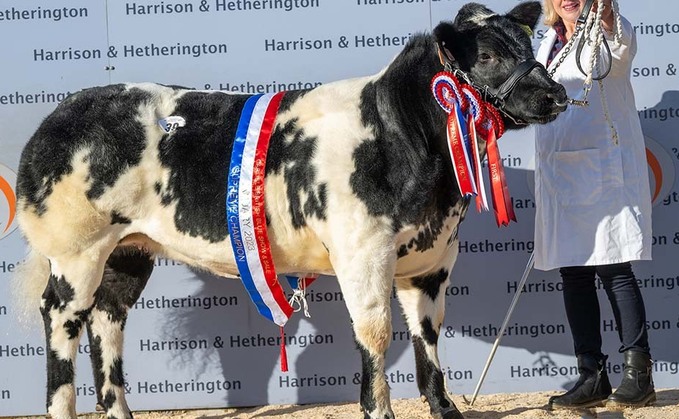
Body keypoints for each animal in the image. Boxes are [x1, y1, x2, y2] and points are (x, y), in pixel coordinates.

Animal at [13, 1, 568, 418]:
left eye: (529, 43)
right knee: (61, 316)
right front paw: (378, 409)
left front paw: (446, 409)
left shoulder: (433, 259)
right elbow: (374, 334)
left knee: (108, 319)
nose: (556, 93)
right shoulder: (363, 251)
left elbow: (427, 337)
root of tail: (61, 113)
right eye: (489, 54)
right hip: (77, 248)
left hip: (129, 251)